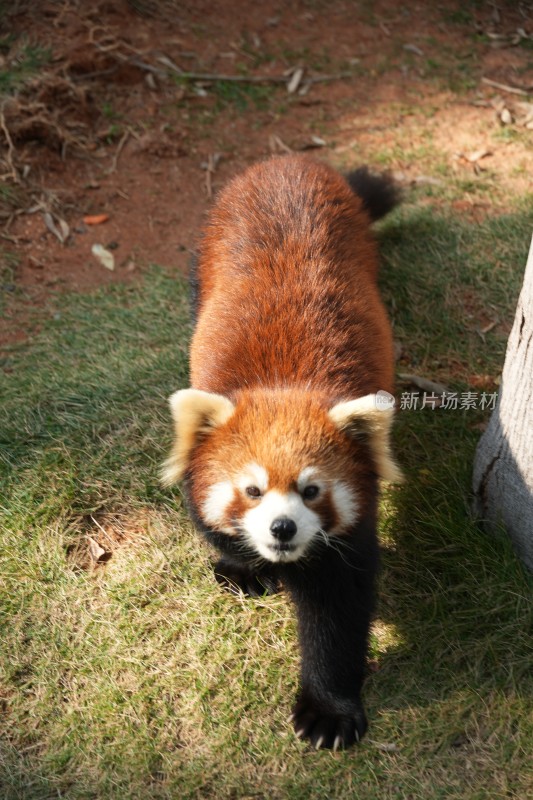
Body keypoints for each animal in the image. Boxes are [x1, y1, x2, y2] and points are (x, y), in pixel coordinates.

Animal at [162, 155, 400, 752]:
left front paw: (328, 711)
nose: (282, 529)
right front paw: (242, 566)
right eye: (251, 490)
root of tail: (287, 162)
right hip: (208, 250)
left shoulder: (349, 537)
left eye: (311, 491)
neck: (285, 386)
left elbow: (336, 614)